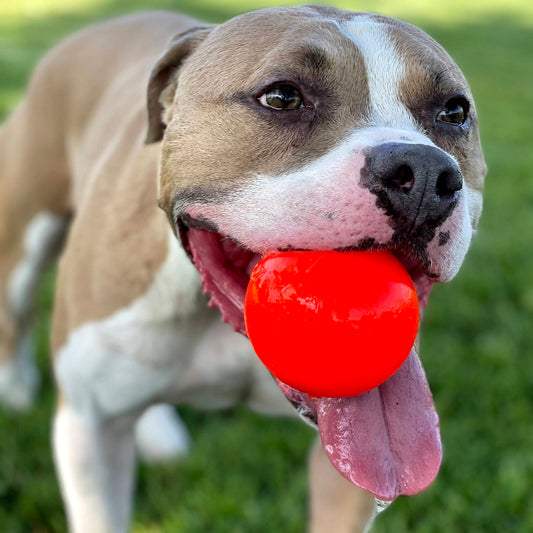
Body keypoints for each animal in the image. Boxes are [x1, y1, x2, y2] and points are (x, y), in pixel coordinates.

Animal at [0, 5, 484, 532]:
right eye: (282, 97)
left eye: (454, 112)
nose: (424, 175)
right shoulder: (89, 428)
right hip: (24, 236)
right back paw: (16, 388)